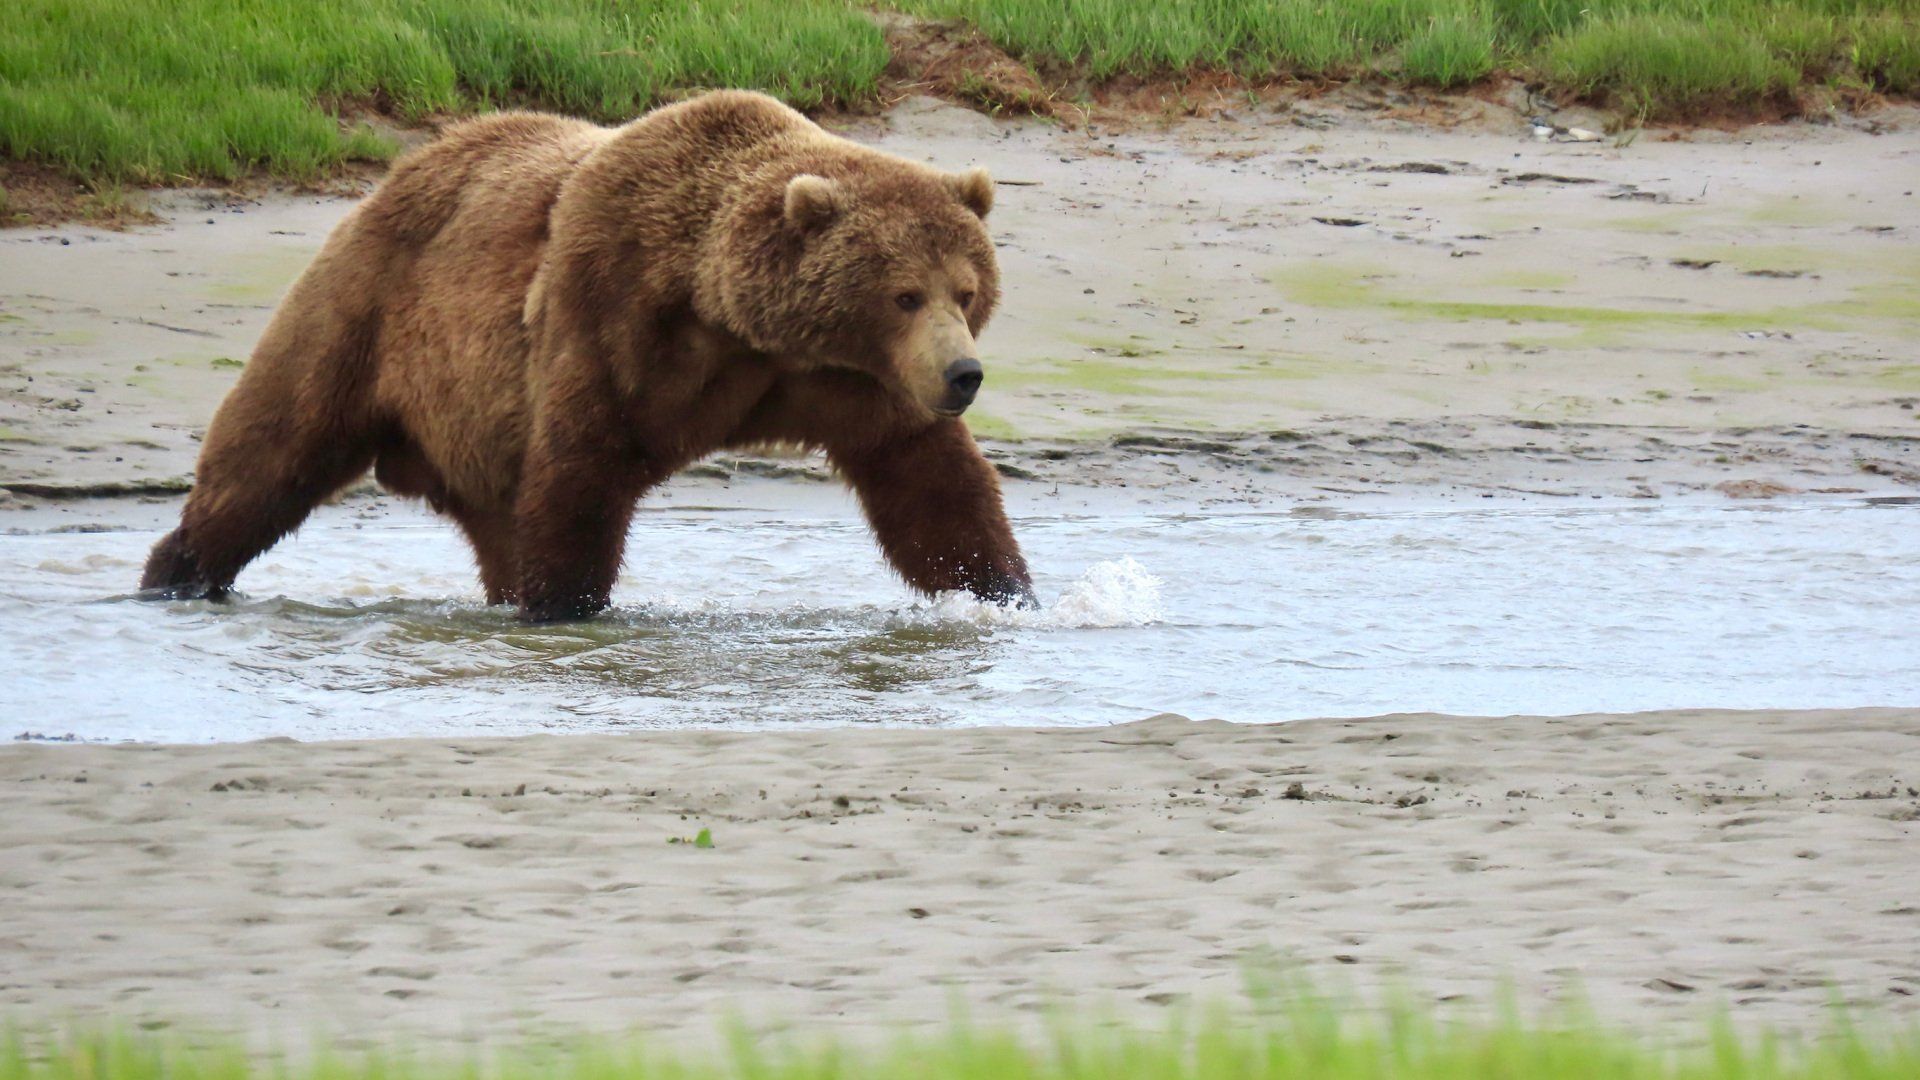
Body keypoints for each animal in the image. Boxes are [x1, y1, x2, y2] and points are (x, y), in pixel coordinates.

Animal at [139, 90, 1035, 621]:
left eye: (966, 289)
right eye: (905, 294)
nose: (964, 374)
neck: (733, 320)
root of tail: (400, 170)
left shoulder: (848, 382)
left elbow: (931, 487)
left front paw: (1004, 592)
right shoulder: (609, 309)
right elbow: (581, 476)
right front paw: (571, 609)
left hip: (474, 432)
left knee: (496, 526)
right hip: (361, 311)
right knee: (271, 454)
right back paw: (175, 574)